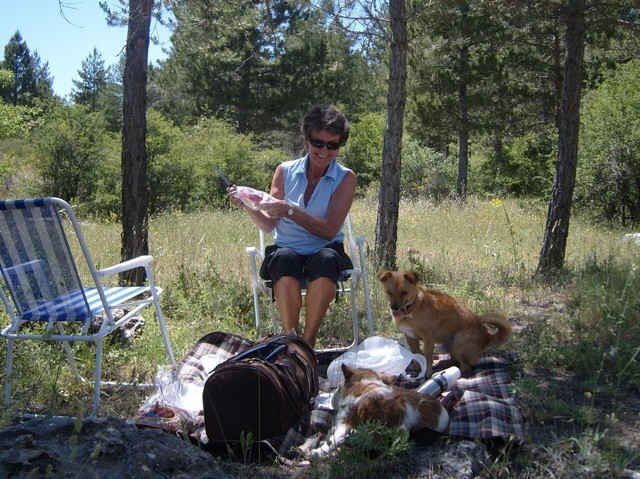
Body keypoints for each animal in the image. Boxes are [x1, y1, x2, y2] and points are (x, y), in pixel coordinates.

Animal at [378, 272, 512, 376]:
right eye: (389, 292)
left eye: (404, 292)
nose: (394, 307)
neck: (411, 309)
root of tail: (487, 336)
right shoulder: (410, 337)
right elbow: (416, 355)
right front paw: (417, 367)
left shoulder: (428, 339)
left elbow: (427, 356)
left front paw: (428, 373)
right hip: (448, 345)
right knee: (455, 361)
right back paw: (443, 364)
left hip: (457, 344)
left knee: (466, 366)